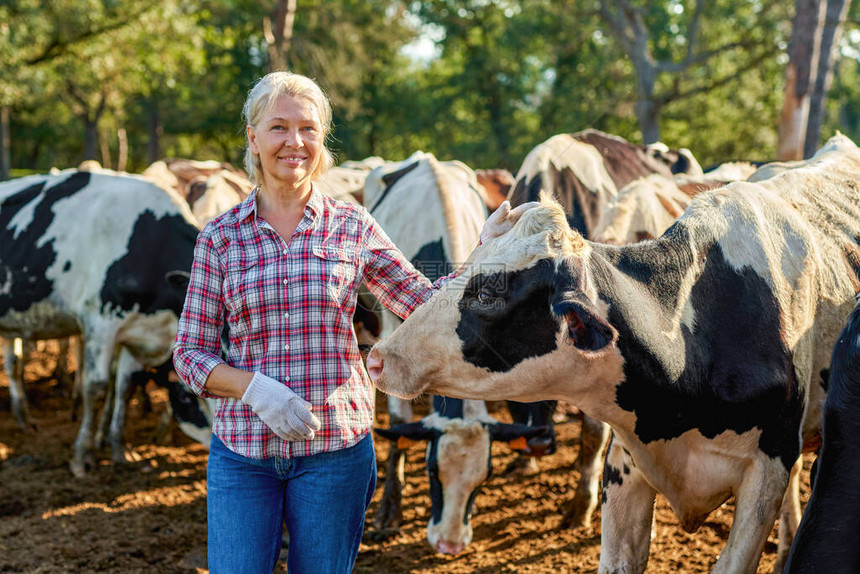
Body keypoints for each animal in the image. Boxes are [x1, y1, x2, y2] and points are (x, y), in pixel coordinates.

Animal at [0, 170, 197, 476]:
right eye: (187, 397)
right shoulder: (99, 323)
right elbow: (96, 386)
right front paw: (83, 454)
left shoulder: (134, 334)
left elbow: (124, 387)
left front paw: (118, 448)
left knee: (13, 363)